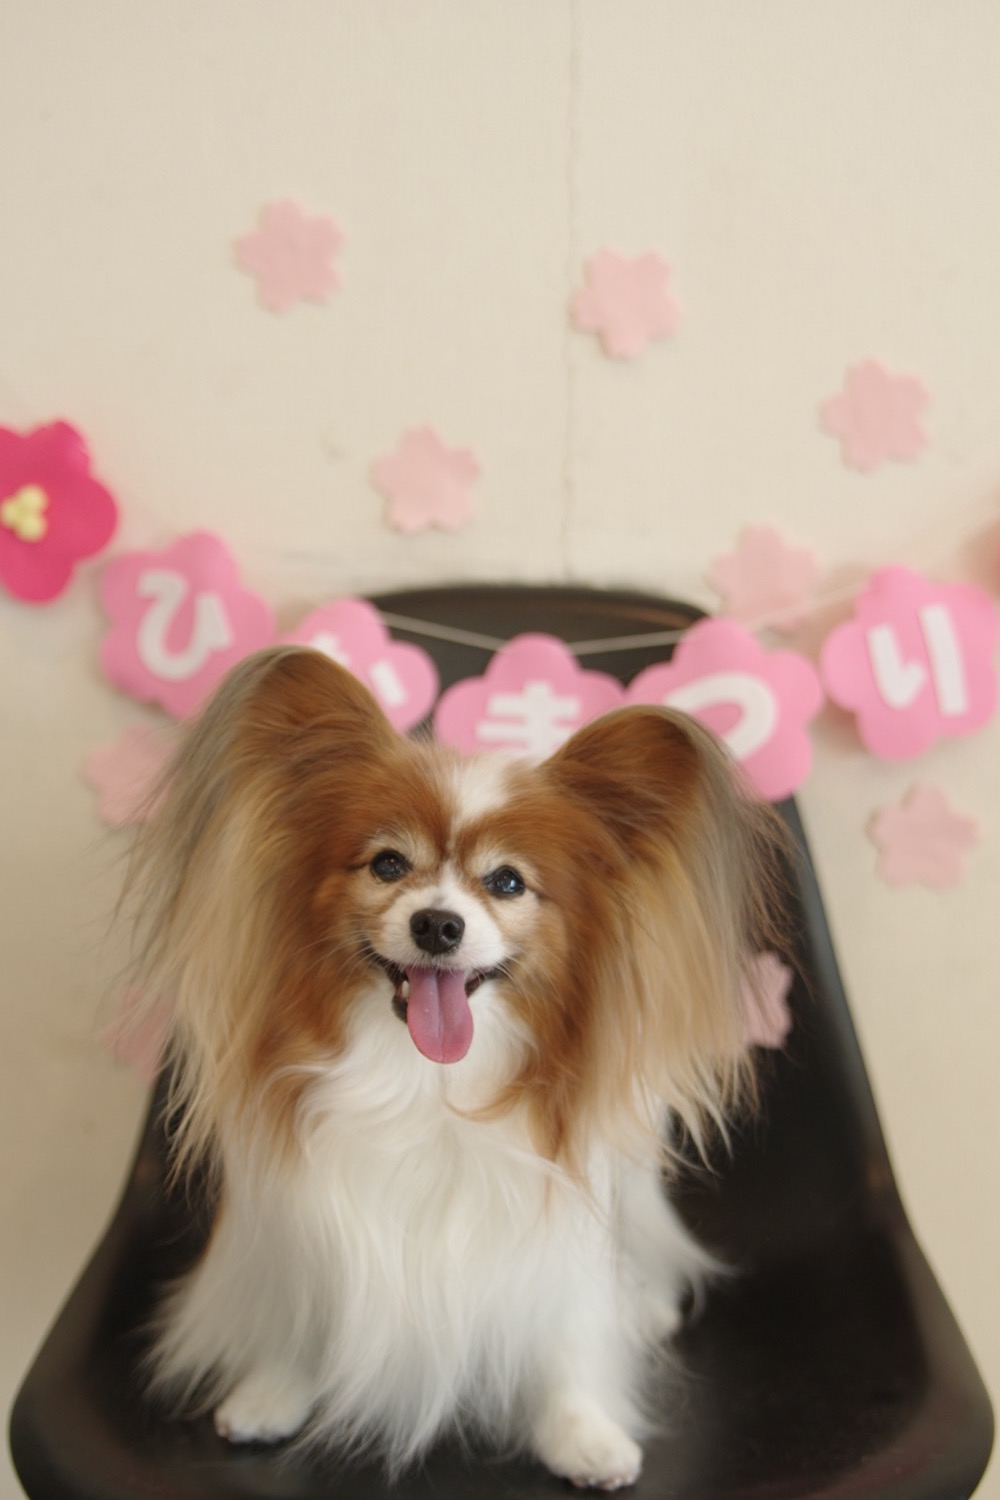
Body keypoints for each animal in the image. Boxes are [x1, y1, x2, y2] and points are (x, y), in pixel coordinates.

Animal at [124, 644, 786, 1488]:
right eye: (387, 864)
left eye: (507, 882)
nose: (437, 924)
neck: (426, 1081)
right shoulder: (308, 1221)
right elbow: (303, 1312)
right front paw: (275, 1390)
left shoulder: (554, 1234)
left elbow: (567, 1335)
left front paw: (584, 1433)